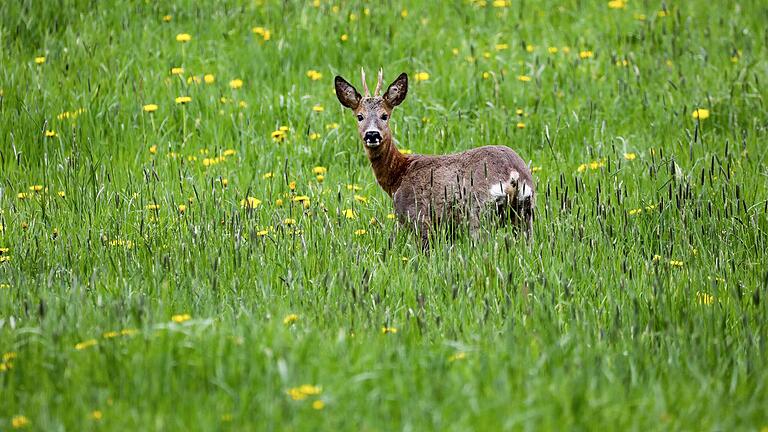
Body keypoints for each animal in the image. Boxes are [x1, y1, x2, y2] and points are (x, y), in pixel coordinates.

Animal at [336, 68, 536, 250]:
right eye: (360, 116)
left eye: (385, 115)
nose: (372, 134)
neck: (398, 176)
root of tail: (513, 173)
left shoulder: (417, 216)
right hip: (525, 210)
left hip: (479, 210)